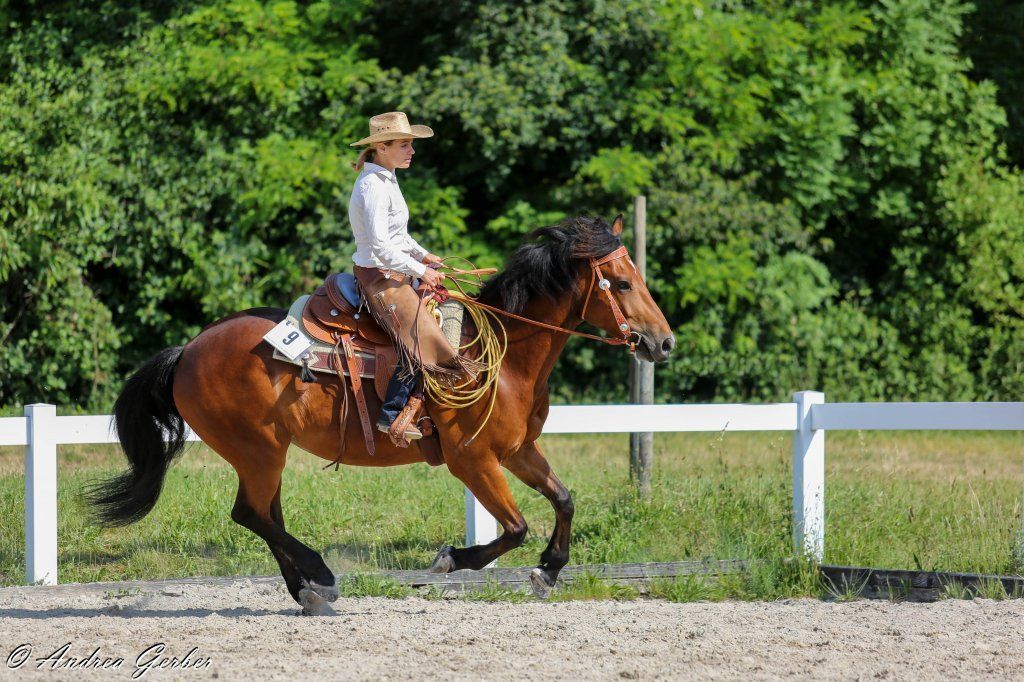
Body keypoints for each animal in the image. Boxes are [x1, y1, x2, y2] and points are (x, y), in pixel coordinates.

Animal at [87, 213, 675, 614]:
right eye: (623, 283)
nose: (663, 342)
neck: (501, 360)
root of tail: (187, 350)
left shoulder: (516, 451)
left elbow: (564, 500)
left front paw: (549, 572)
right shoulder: (473, 461)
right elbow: (515, 528)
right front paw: (451, 560)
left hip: (265, 453)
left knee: (264, 516)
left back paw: (309, 591)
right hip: (257, 450)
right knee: (250, 515)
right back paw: (321, 574)